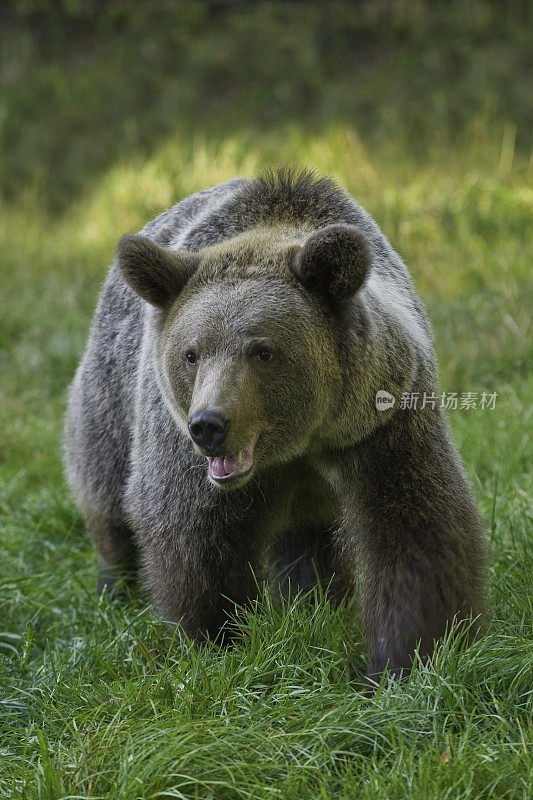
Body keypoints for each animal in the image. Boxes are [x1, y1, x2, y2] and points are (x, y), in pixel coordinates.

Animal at [64, 169, 484, 676]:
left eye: (263, 351)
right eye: (192, 353)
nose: (209, 425)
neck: (302, 440)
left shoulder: (385, 423)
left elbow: (418, 530)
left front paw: (404, 657)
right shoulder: (178, 443)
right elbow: (190, 530)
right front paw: (218, 638)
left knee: (309, 537)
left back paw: (312, 599)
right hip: (111, 391)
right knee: (105, 487)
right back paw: (116, 584)